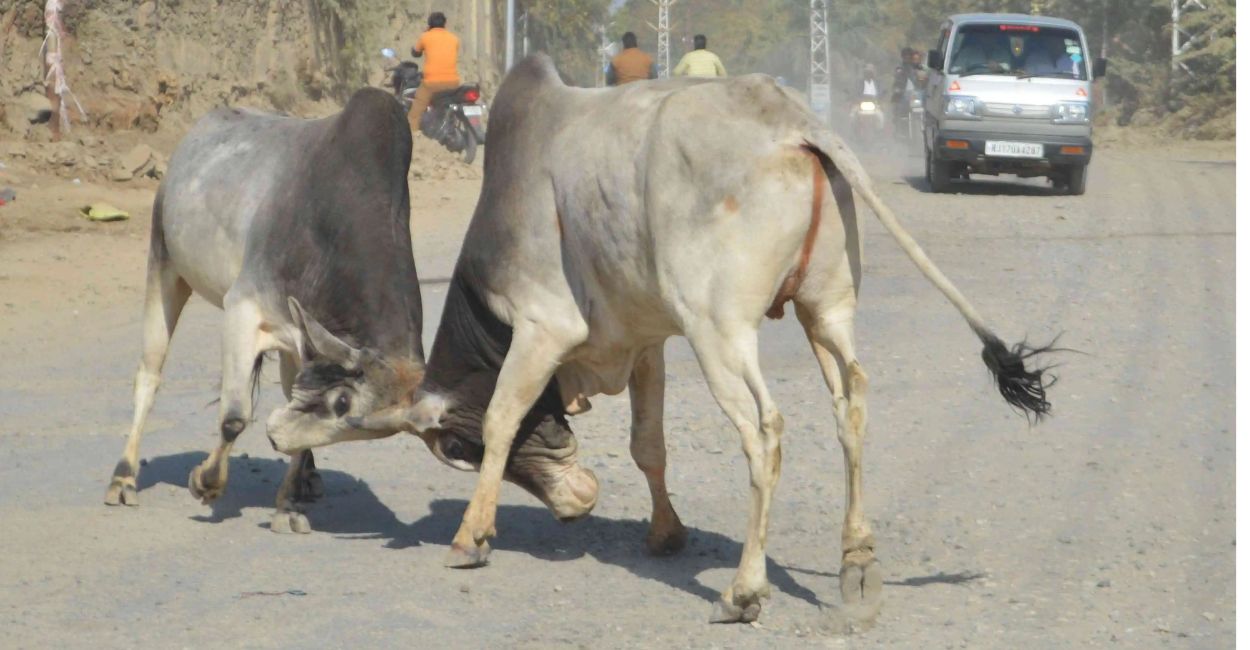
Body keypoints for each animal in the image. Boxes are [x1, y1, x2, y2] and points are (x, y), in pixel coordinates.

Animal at [105, 88, 425, 535]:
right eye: (341, 403)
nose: (276, 438)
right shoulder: (242, 308)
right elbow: (235, 416)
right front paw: (205, 482)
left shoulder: (304, 342)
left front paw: (286, 505)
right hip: (164, 261)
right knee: (149, 376)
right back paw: (123, 478)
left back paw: (307, 478)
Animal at [271, 55, 1055, 623]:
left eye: (451, 450)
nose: (576, 501)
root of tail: (793, 121)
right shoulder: (646, 338)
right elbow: (648, 444)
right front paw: (665, 533)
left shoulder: (543, 325)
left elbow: (500, 419)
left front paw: (471, 536)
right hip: (825, 308)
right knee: (851, 405)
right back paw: (857, 562)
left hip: (720, 328)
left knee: (766, 427)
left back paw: (744, 591)